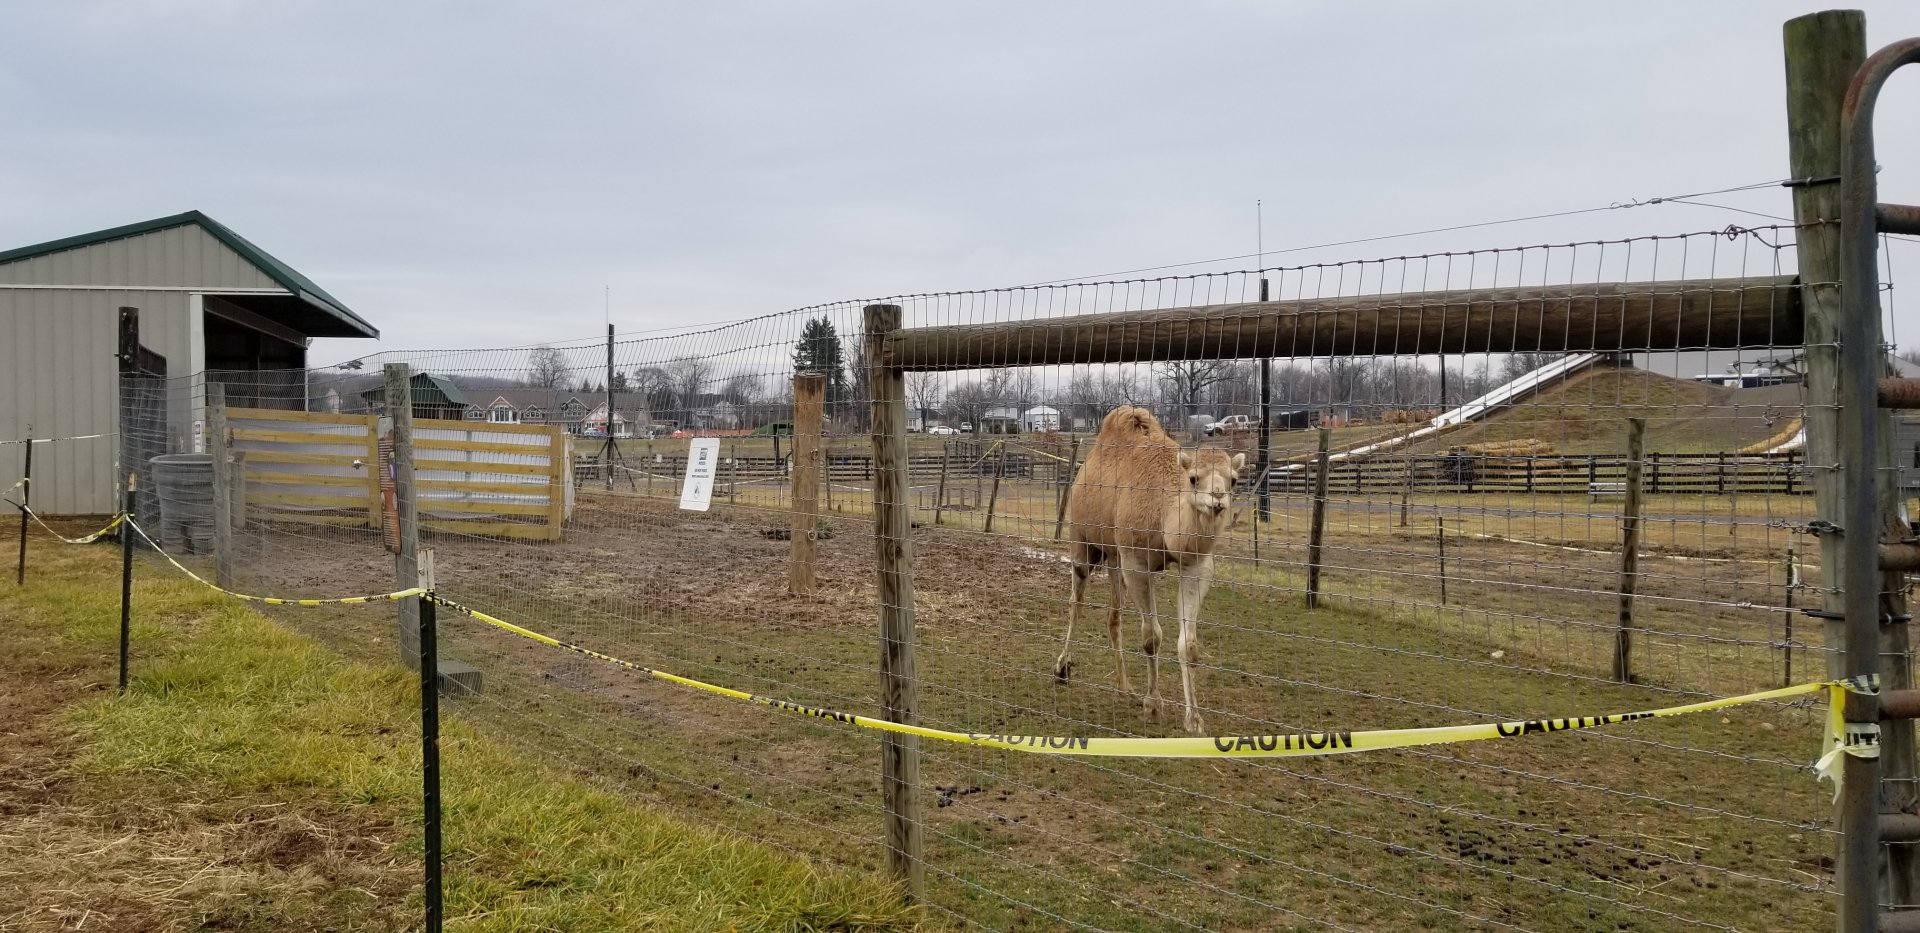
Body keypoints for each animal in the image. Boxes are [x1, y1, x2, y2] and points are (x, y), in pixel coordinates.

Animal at [1055, 406, 1245, 734]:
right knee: (1076, 601)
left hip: (1114, 556)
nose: (1217, 499)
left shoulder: (1196, 566)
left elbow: (1188, 644)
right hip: (1081, 538)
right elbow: (1151, 637)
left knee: (1113, 614)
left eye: (1233, 480)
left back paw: (1125, 688)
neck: (1164, 511)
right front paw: (1153, 706)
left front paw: (1194, 720)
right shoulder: (1137, 564)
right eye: (1193, 478)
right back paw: (1062, 668)